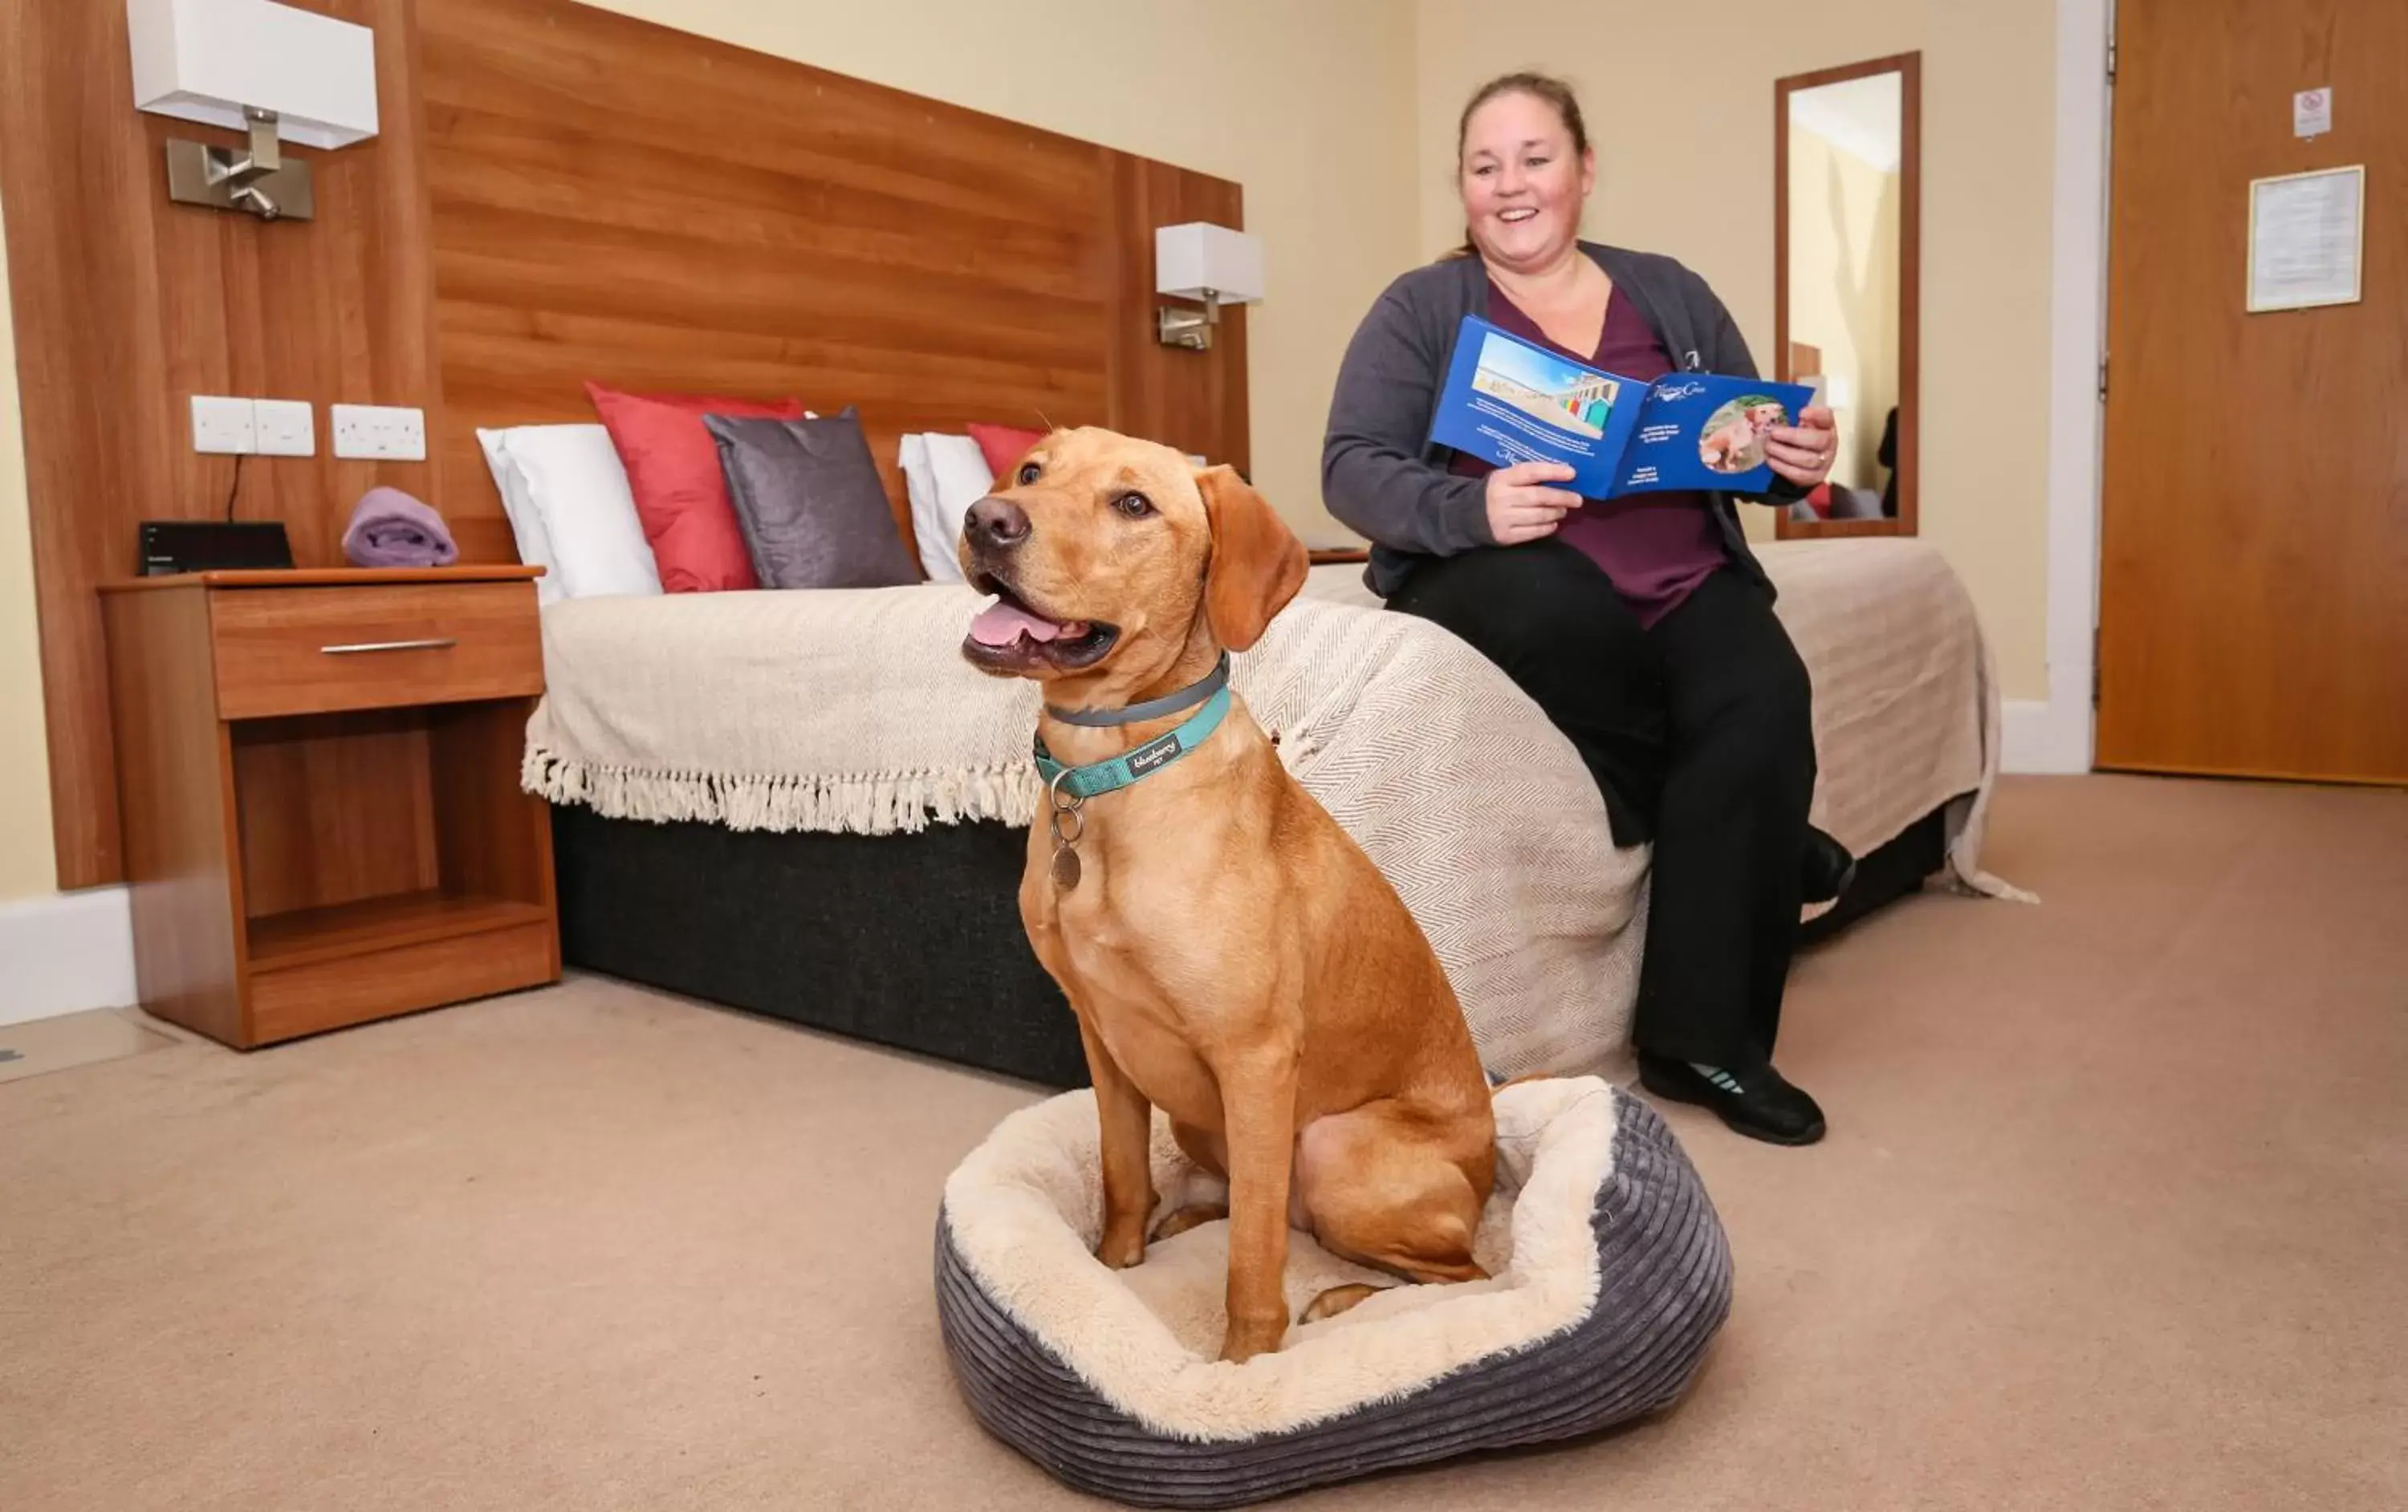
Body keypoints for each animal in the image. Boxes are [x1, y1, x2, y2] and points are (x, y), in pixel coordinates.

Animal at [954, 429, 1483, 1368]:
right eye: (1032, 472)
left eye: (1133, 504)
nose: (987, 519)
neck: (1113, 774)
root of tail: (1497, 1180)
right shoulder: (1103, 1037)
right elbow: (1123, 1175)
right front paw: (1115, 1271)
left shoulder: (1257, 1062)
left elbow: (1253, 1264)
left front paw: (1243, 1371)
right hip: (1198, 1116)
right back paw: (1194, 1213)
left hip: (1336, 1149)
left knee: (1467, 1274)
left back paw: (1345, 1298)